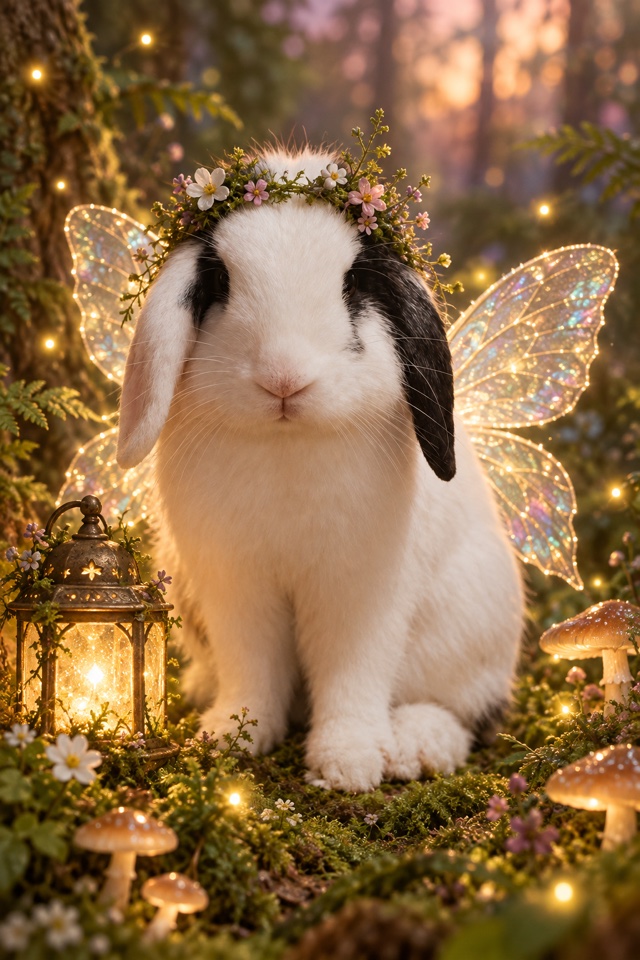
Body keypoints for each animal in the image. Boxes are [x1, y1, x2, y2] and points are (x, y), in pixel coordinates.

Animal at [116, 147, 524, 792]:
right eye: (220, 282)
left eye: (353, 284)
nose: (283, 378)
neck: (288, 446)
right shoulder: (234, 586)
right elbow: (252, 666)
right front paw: (231, 737)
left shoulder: (360, 593)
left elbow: (350, 674)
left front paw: (348, 764)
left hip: (471, 631)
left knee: (468, 713)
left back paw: (414, 747)